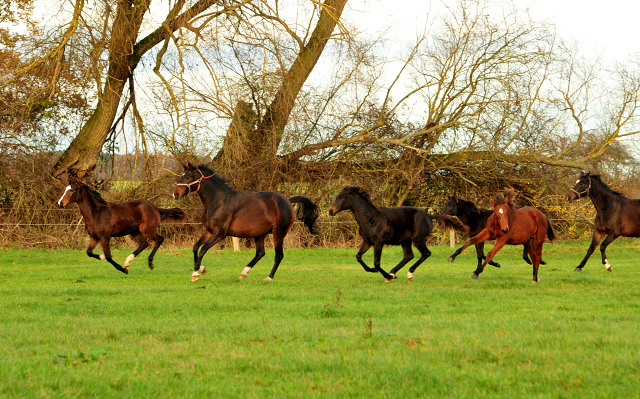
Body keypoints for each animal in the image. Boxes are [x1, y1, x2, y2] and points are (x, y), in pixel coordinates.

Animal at [57, 180, 188, 274]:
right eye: (66, 189)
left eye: (72, 190)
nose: (60, 203)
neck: (97, 213)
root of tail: (156, 208)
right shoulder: (94, 237)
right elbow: (89, 252)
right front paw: (101, 257)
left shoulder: (105, 237)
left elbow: (109, 257)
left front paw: (122, 270)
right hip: (135, 231)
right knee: (144, 244)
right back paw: (127, 262)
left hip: (146, 230)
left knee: (159, 239)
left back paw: (149, 263)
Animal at [171, 162, 320, 282]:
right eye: (182, 176)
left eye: (189, 176)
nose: (175, 194)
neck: (218, 201)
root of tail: (288, 201)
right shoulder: (209, 231)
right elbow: (196, 247)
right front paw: (200, 269)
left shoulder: (220, 233)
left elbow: (203, 249)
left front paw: (195, 274)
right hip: (260, 234)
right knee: (260, 253)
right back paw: (244, 273)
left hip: (278, 233)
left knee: (278, 255)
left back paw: (269, 278)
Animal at [328, 186, 468, 282]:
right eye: (336, 196)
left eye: (343, 197)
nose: (331, 211)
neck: (371, 219)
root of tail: (429, 216)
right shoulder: (367, 241)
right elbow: (358, 257)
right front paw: (373, 271)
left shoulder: (379, 243)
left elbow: (377, 263)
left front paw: (385, 275)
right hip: (405, 241)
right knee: (409, 256)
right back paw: (393, 272)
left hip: (418, 240)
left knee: (425, 254)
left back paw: (406, 273)